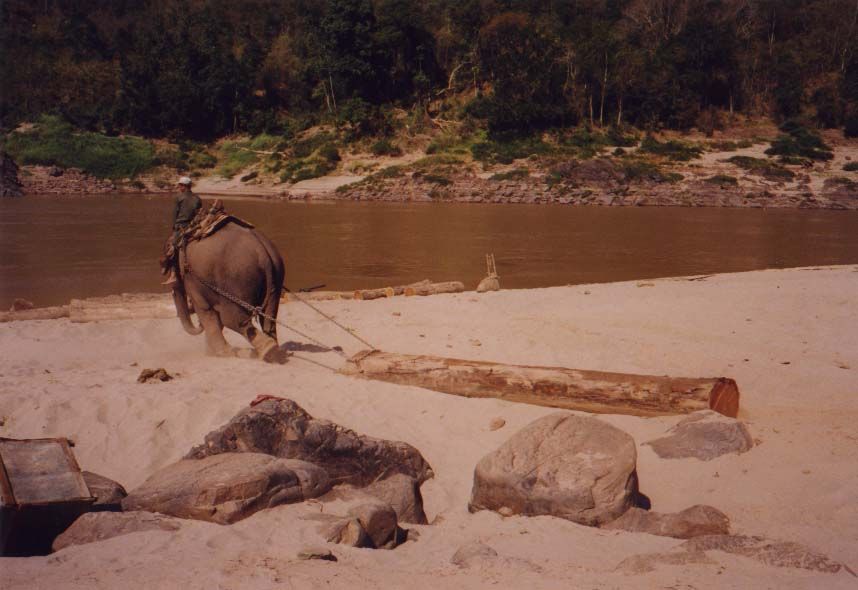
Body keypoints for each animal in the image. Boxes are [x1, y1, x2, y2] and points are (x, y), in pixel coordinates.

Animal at [171, 222, 289, 363]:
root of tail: (262, 252)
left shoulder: (192, 281)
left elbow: (206, 312)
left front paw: (220, 353)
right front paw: (212, 353)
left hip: (236, 280)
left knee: (233, 319)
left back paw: (267, 350)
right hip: (276, 274)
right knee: (269, 316)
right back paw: (273, 353)